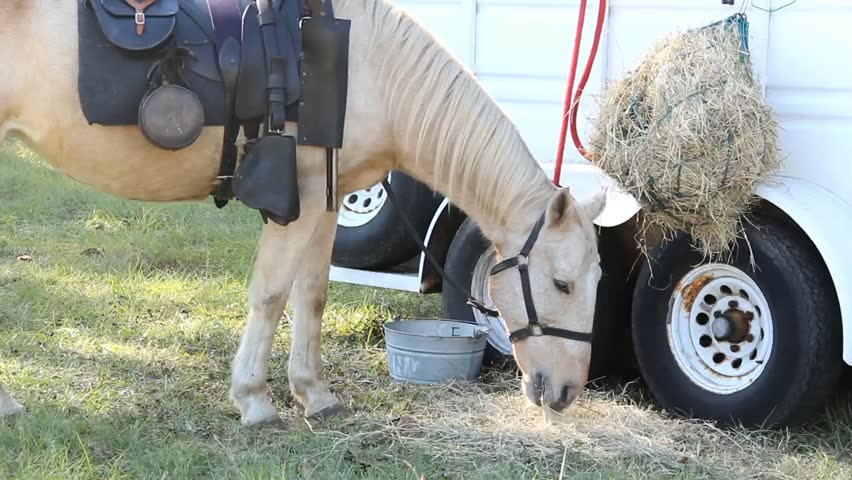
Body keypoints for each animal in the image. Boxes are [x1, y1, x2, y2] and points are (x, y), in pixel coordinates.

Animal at [0, 0, 606, 427]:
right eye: (562, 283)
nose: (567, 391)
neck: (367, 69)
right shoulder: (300, 201)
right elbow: (270, 295)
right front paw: (253, 399)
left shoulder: (329, 201)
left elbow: (310, 295)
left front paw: (314, 394)